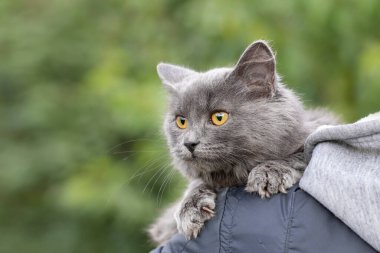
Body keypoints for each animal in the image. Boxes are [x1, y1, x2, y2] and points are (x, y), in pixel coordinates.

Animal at [148, 40, 338, 244]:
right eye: (181, 121)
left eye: (219, 117)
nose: (189, 143)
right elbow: (197, 184)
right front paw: (190, 208)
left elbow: (302, 153)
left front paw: (269, 173)